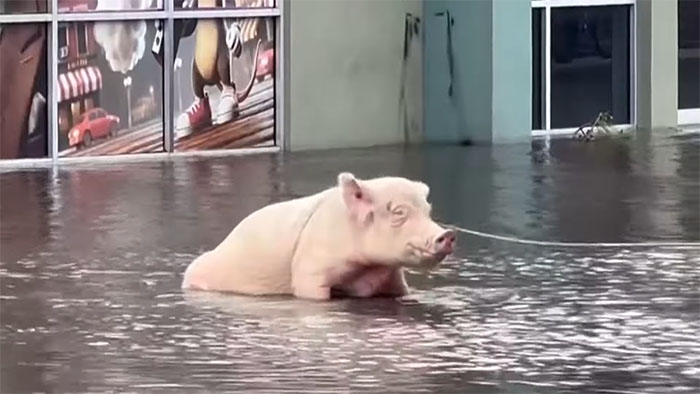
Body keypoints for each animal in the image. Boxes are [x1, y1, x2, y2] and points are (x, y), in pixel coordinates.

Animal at [180, 171, 456, 300]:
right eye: (399, 213)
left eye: (428, 210)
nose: (448, 233)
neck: (364, 269)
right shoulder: (310, 269)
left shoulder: (391, 276)